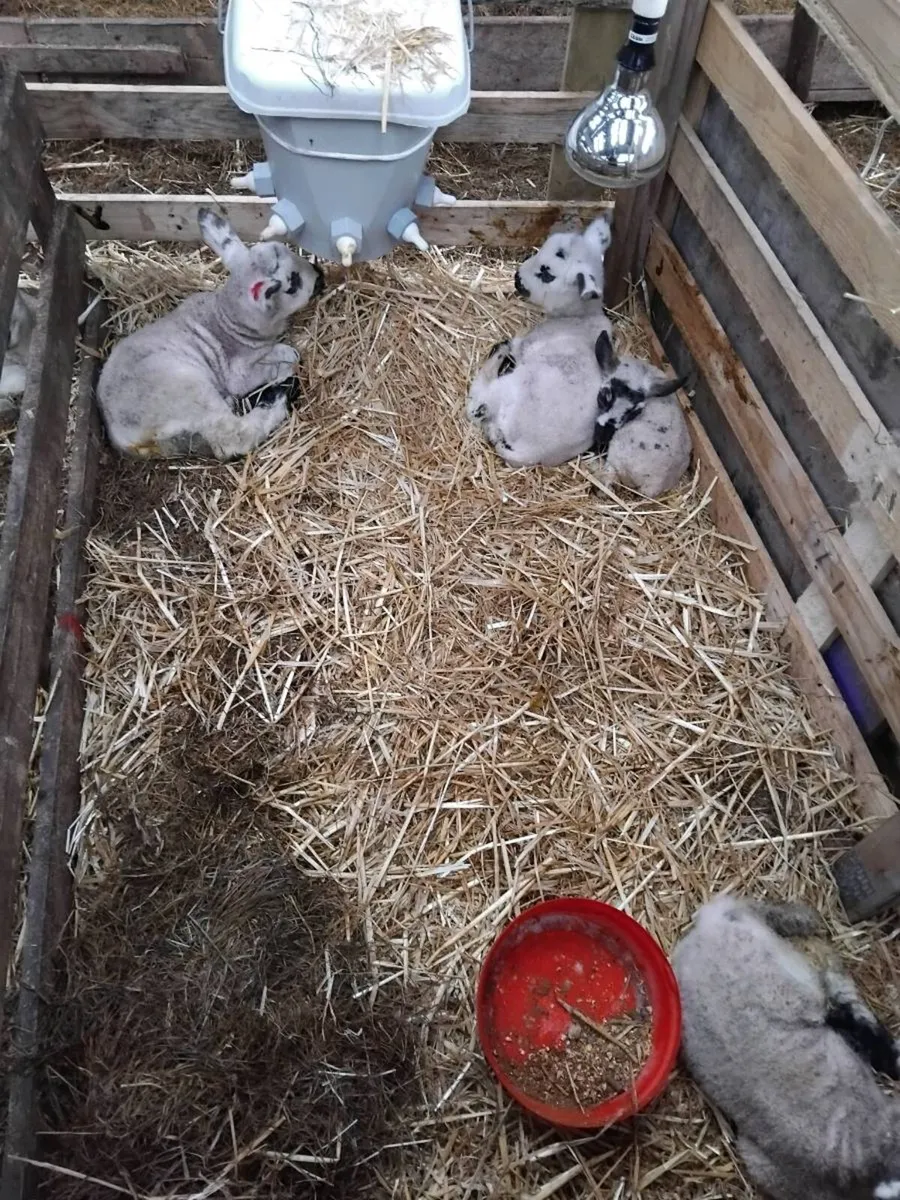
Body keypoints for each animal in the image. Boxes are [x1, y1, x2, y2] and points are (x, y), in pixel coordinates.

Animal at [96, 208, 324, 460]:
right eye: (293, 283)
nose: (320, 274)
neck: (227, 318)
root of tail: (127, 439)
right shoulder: (238, 371)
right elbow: (282, 357)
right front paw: (286, 359)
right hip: (189, 391)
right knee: (233, 437)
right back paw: (279, 397)